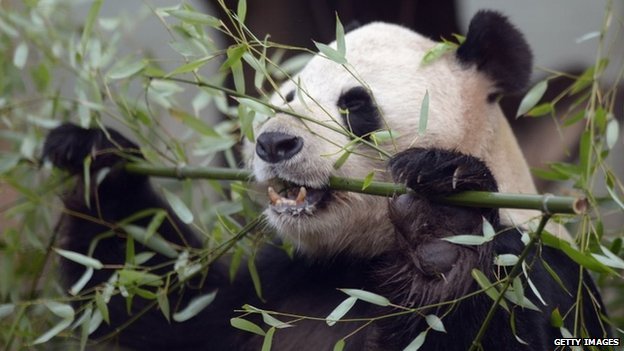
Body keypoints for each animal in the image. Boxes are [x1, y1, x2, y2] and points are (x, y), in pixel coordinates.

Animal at [44, 9, 608, 351]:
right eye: (290, 95)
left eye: (355, 104)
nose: (273, 144)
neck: (362, 262)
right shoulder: (280, 282)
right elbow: (167, 308)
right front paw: (95, 157)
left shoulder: (542, 274)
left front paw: (443, 227)